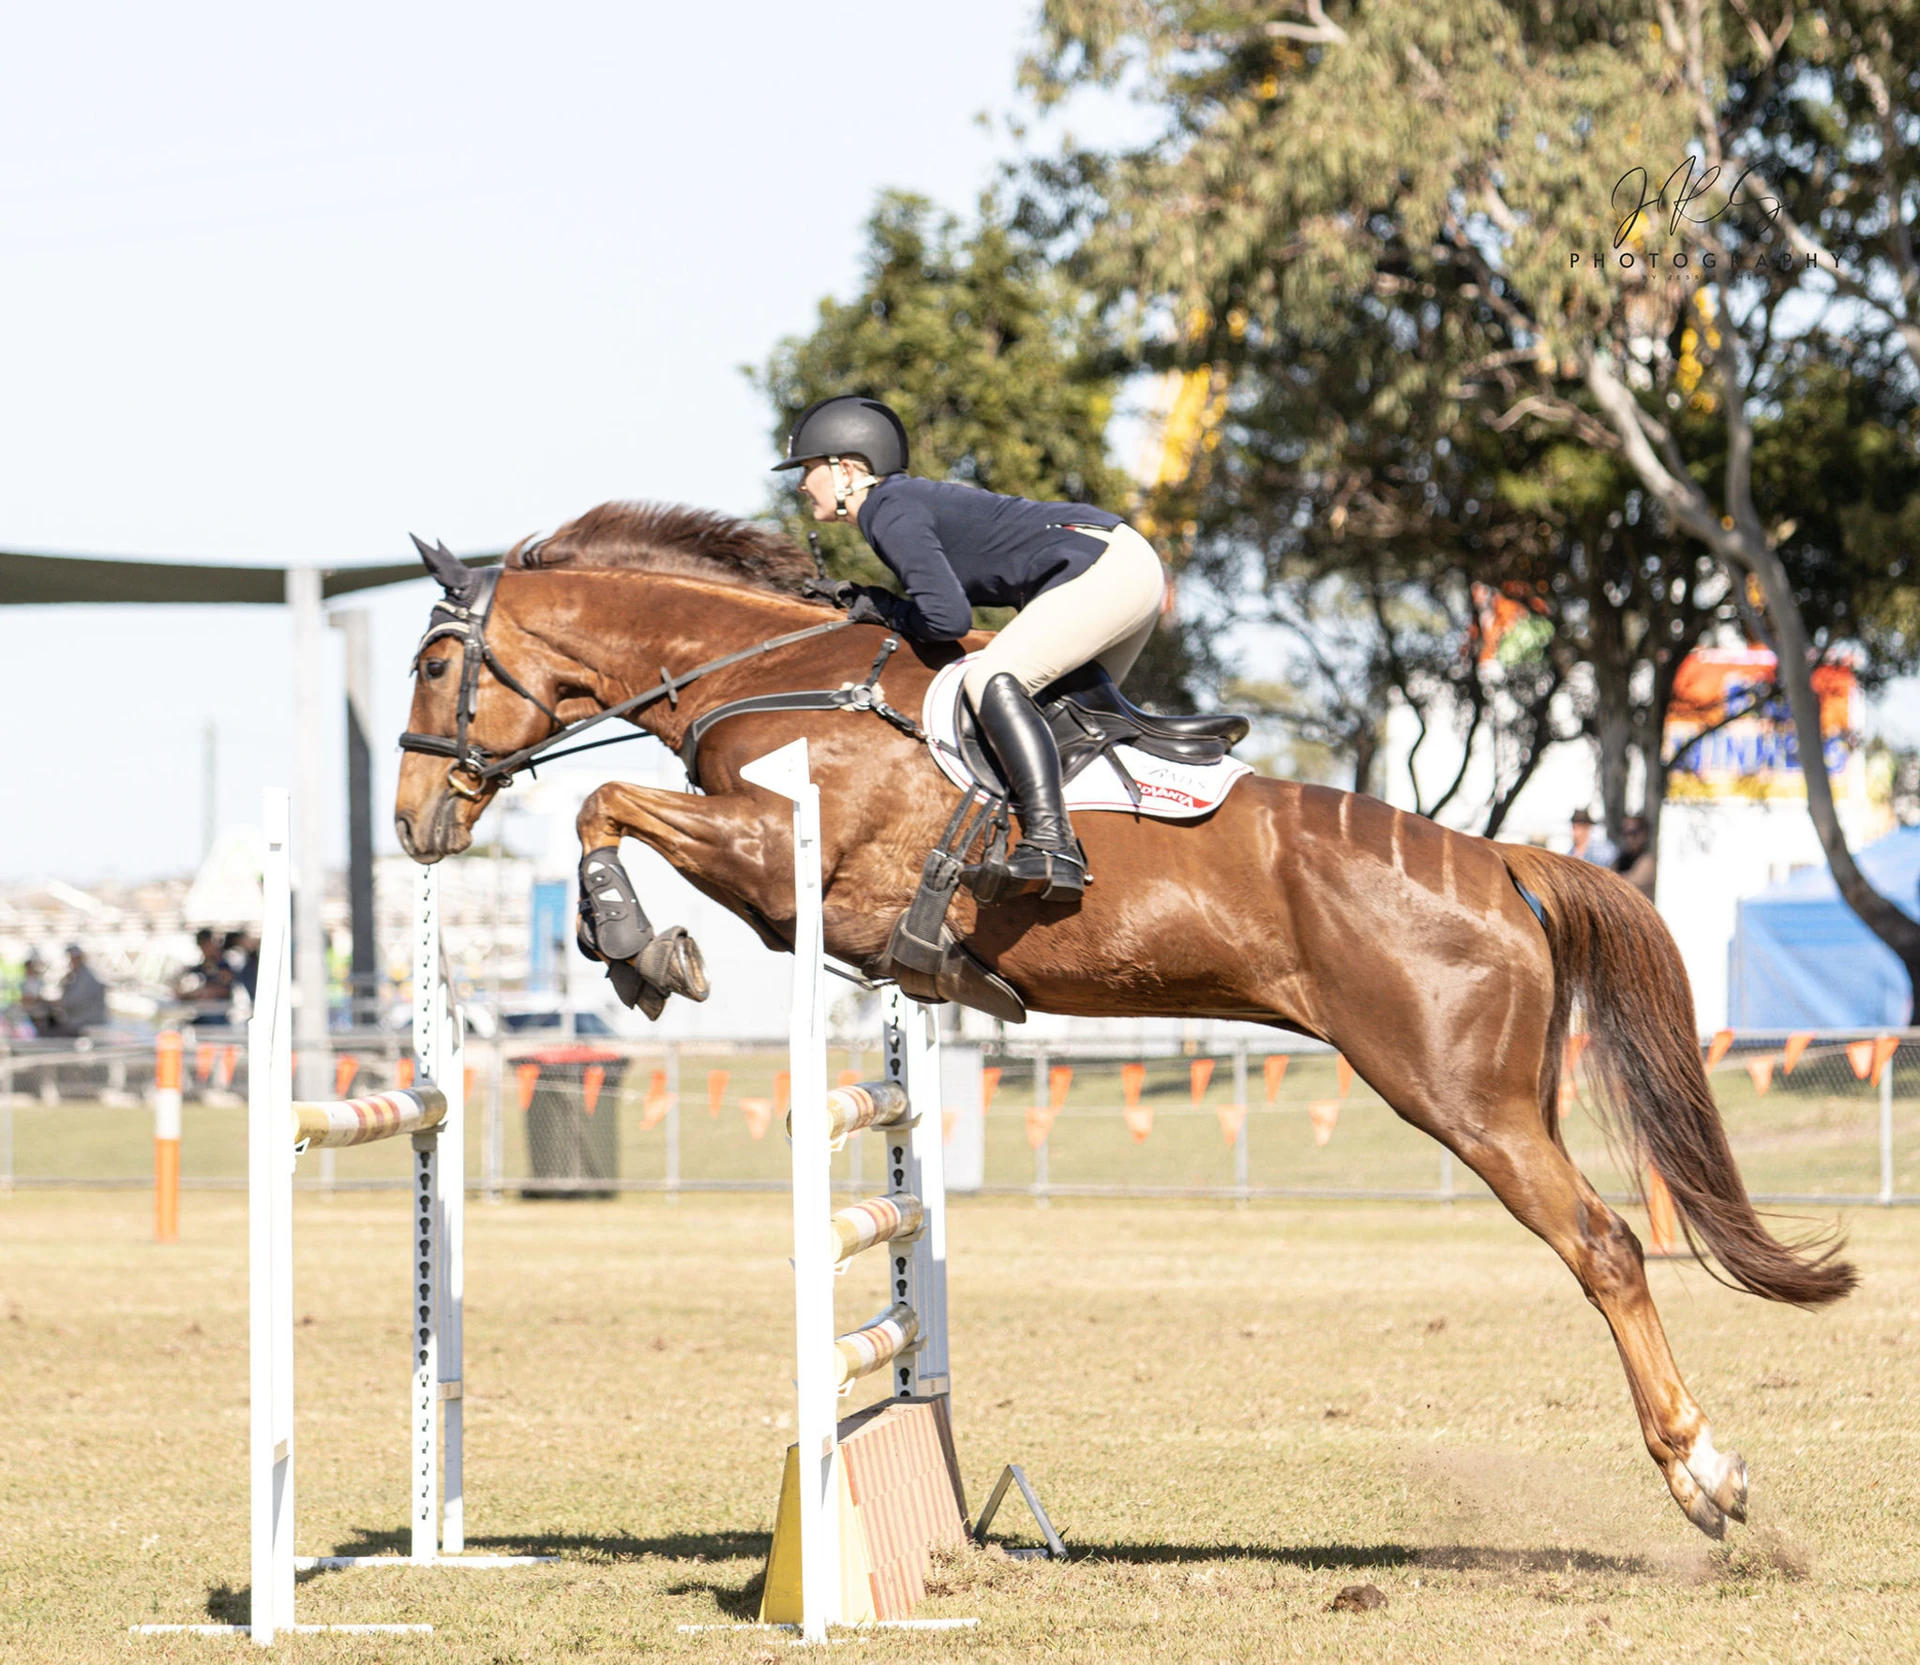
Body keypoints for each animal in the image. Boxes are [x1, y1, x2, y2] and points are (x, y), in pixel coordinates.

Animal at [393, 500, 1853, 1541]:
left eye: (434, 660)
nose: (413, 824)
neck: (772, 676)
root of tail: (1499, 860)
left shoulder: (779, 856)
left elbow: (606, 807)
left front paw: (641, 952)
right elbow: (616, 809)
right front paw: (635, 951)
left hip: (1464, 1100)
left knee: (1605, 1246)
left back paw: (1705, 1475)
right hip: (1500, 1093)